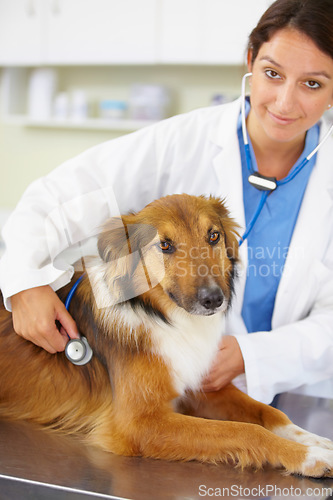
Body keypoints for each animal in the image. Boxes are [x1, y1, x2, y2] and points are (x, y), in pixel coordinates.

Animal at [0, 194, 332, 476]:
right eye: (165, 245)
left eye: (213, 236)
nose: (214, 299)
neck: (164, 317)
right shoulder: (139, 424)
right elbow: (245, 430)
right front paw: (308, 457)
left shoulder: (200, 385)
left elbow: (269, 413)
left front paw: (316, 441)